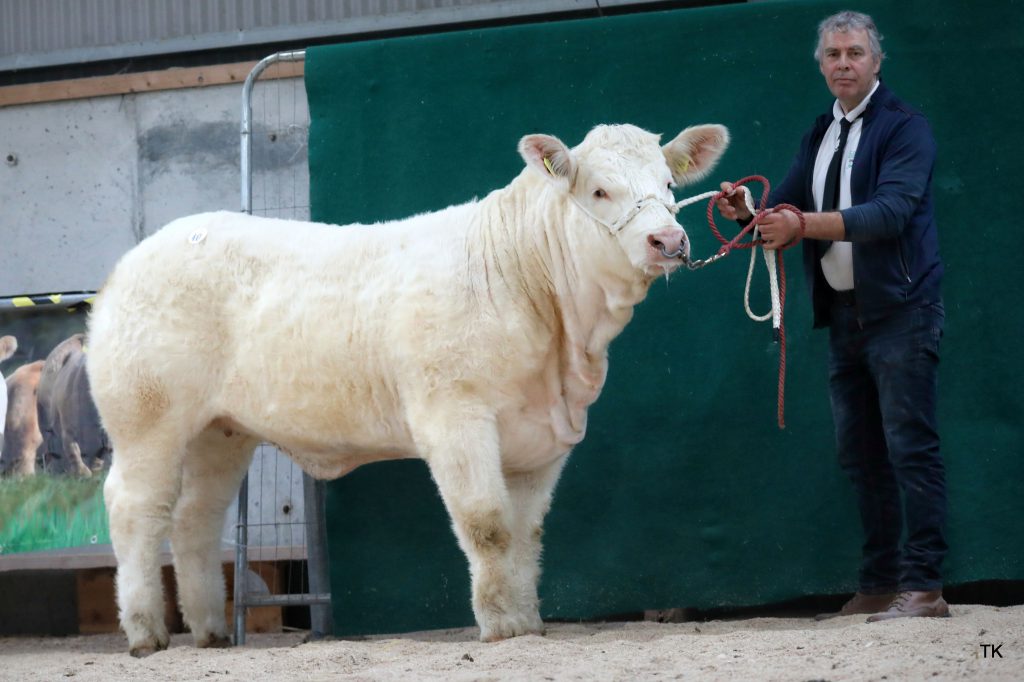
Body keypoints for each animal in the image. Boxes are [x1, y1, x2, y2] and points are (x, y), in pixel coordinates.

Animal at [86, 122, 729, 656]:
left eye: (668, 184)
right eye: (599, 191)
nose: (669, 240)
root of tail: (139, 255)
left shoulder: (545, 437)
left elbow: (526, 534)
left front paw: (527, 622)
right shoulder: (453, 416)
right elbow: (487, 524)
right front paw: (499, 626)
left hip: (221, 431)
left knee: (195, 518)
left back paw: (211, 631)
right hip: (148, 416)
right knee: (137, 509)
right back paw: (145, 633)